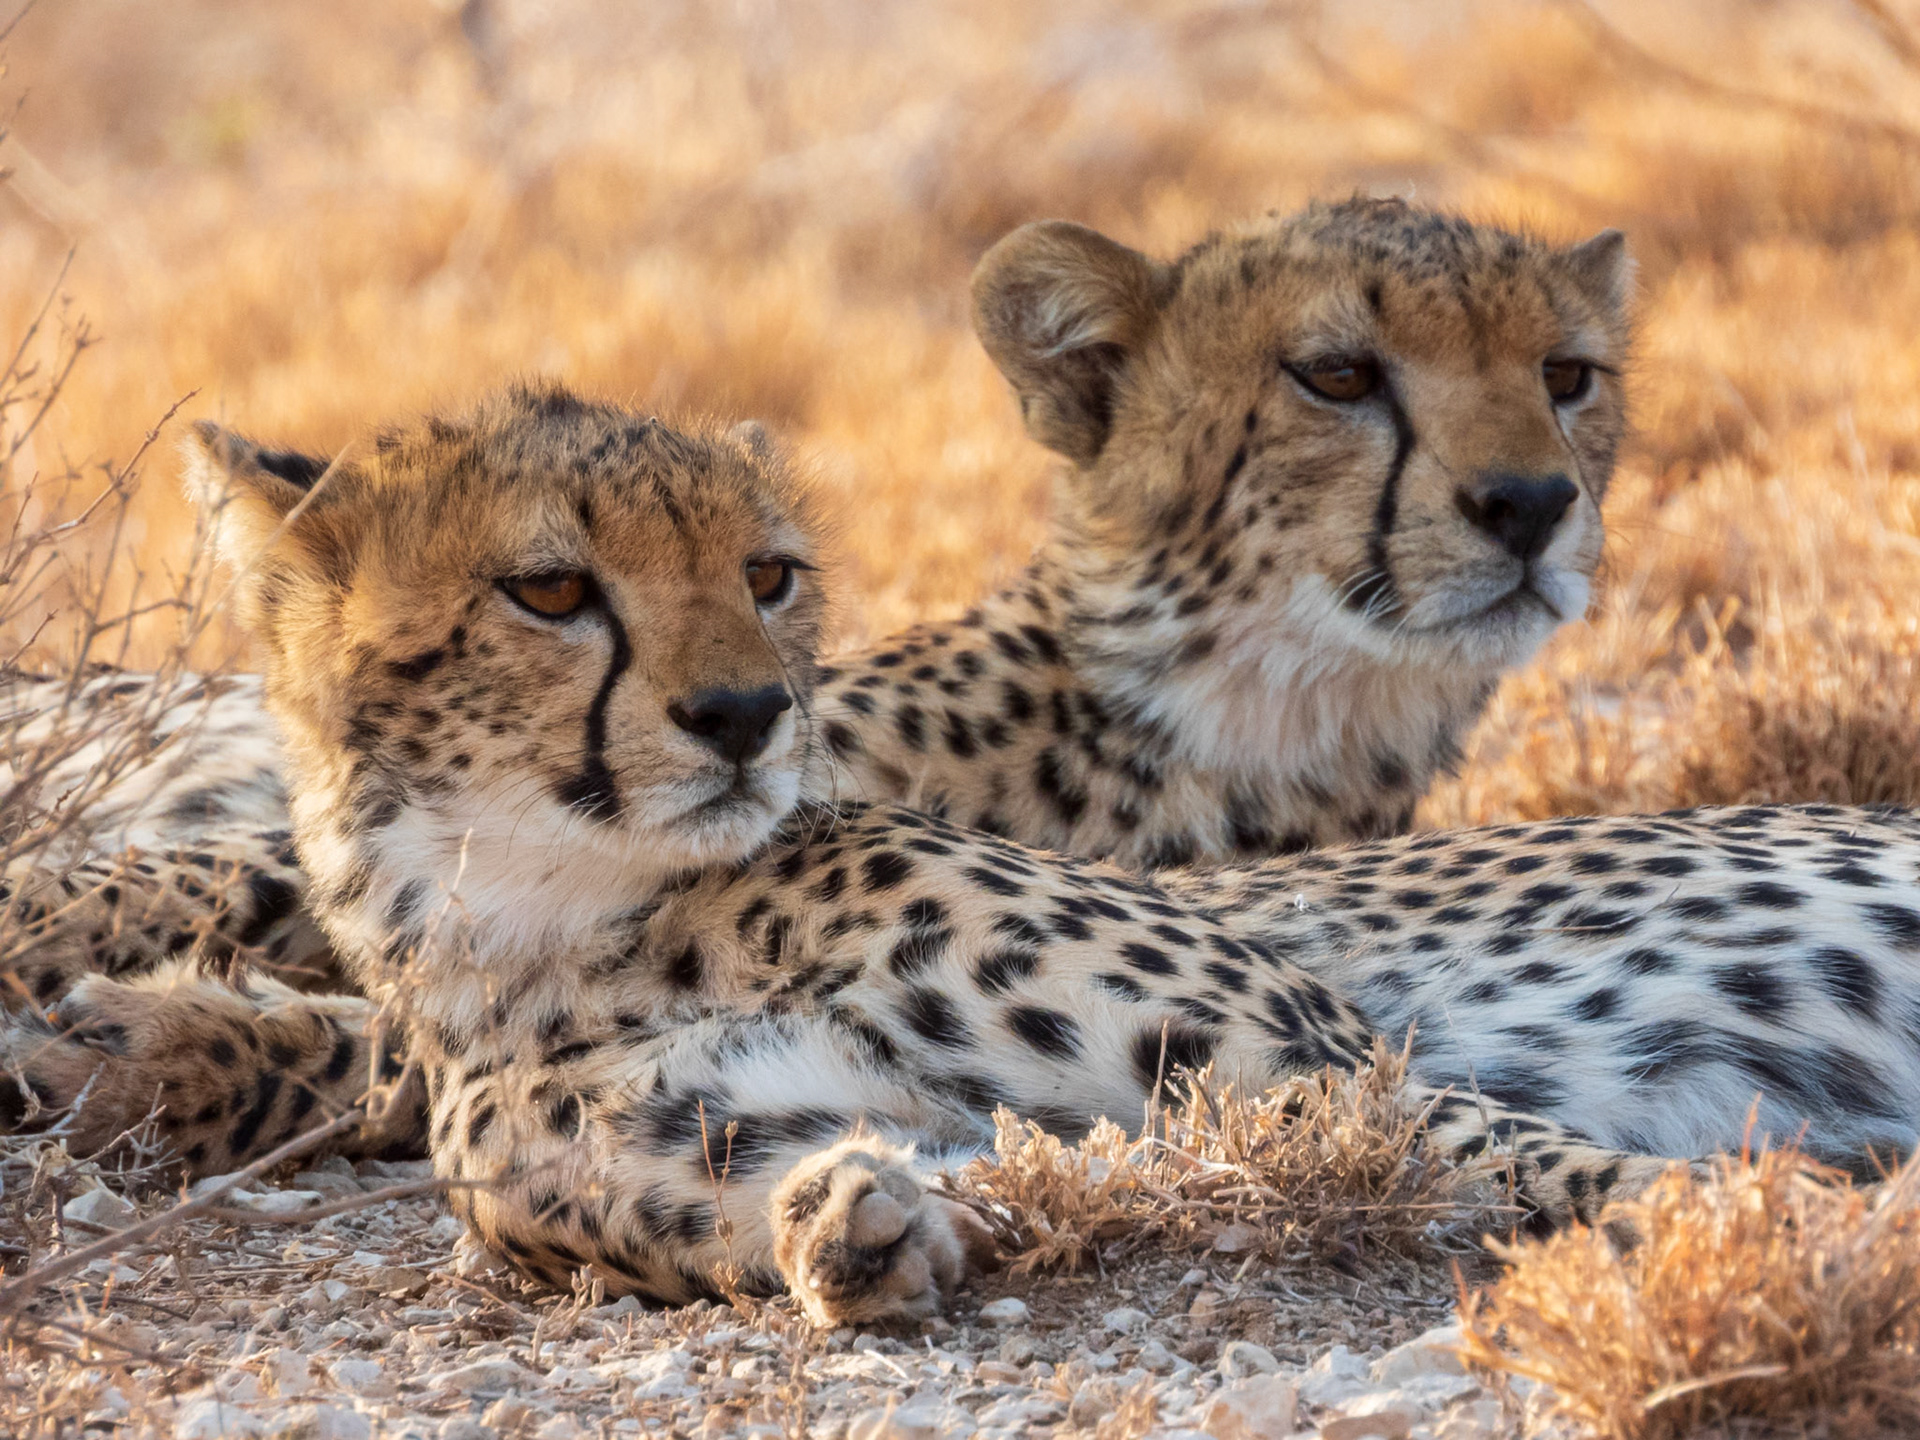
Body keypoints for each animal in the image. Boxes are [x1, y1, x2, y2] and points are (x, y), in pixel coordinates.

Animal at [0, 198, 1627, 1140]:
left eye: (1569, 376)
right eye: (1336, 375)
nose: (1530, 505)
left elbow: (390, 1044)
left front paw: (152, 1044)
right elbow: (215, 873)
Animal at [11, 384, 1920, 1331]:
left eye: (768, 573)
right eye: (548, 588)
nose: (744, 715)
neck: (552, 913)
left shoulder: (1319, 1058)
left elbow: (1585, 1174)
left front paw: (1807, 1234)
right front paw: (852, 1229)